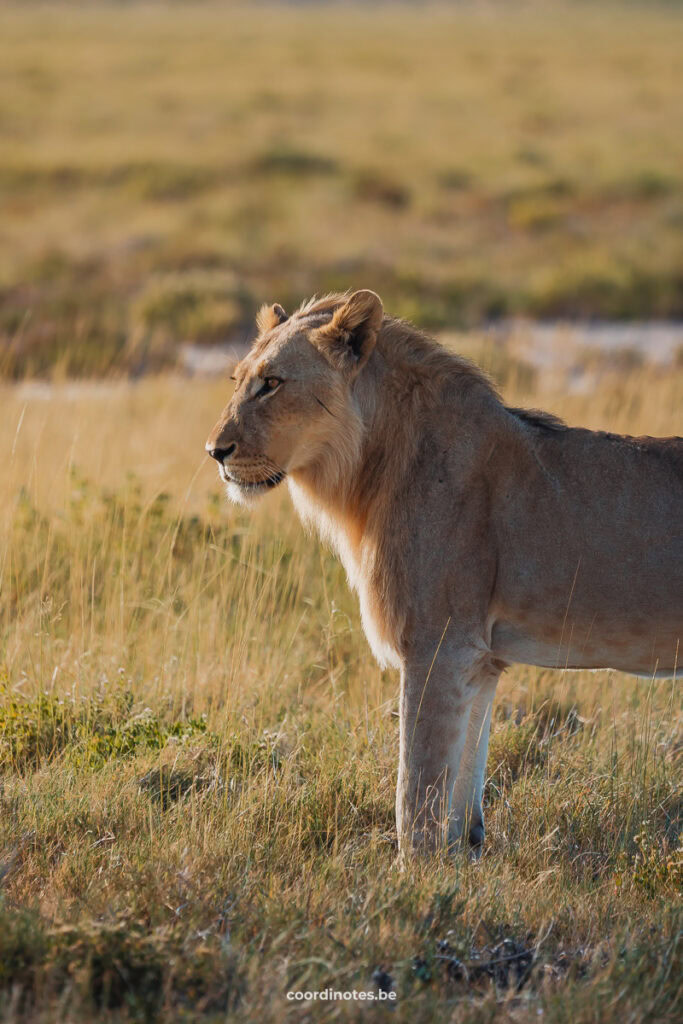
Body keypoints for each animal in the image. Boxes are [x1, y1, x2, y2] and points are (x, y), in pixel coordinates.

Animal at [204, 290, 683, 856]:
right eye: (237, 380)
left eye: (272, 383)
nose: (215, 452)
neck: (371, 467)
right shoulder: (481, 658)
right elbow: (460, 790)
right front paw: (463, 857)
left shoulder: (440, 643)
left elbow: (416, 792)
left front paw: (411, 876)